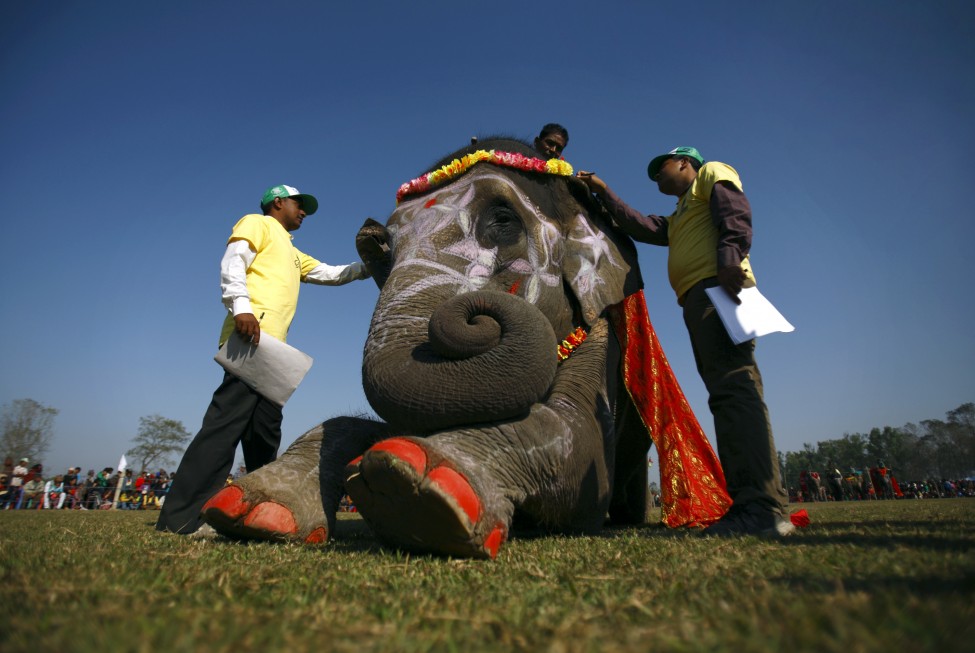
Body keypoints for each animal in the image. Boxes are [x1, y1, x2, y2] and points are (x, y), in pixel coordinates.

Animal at [200, 136, 724, 556]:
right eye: (383, 252)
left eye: (503, 220)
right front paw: (257, 511)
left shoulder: (602, 333)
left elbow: (579, 442)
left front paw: (417, 489)